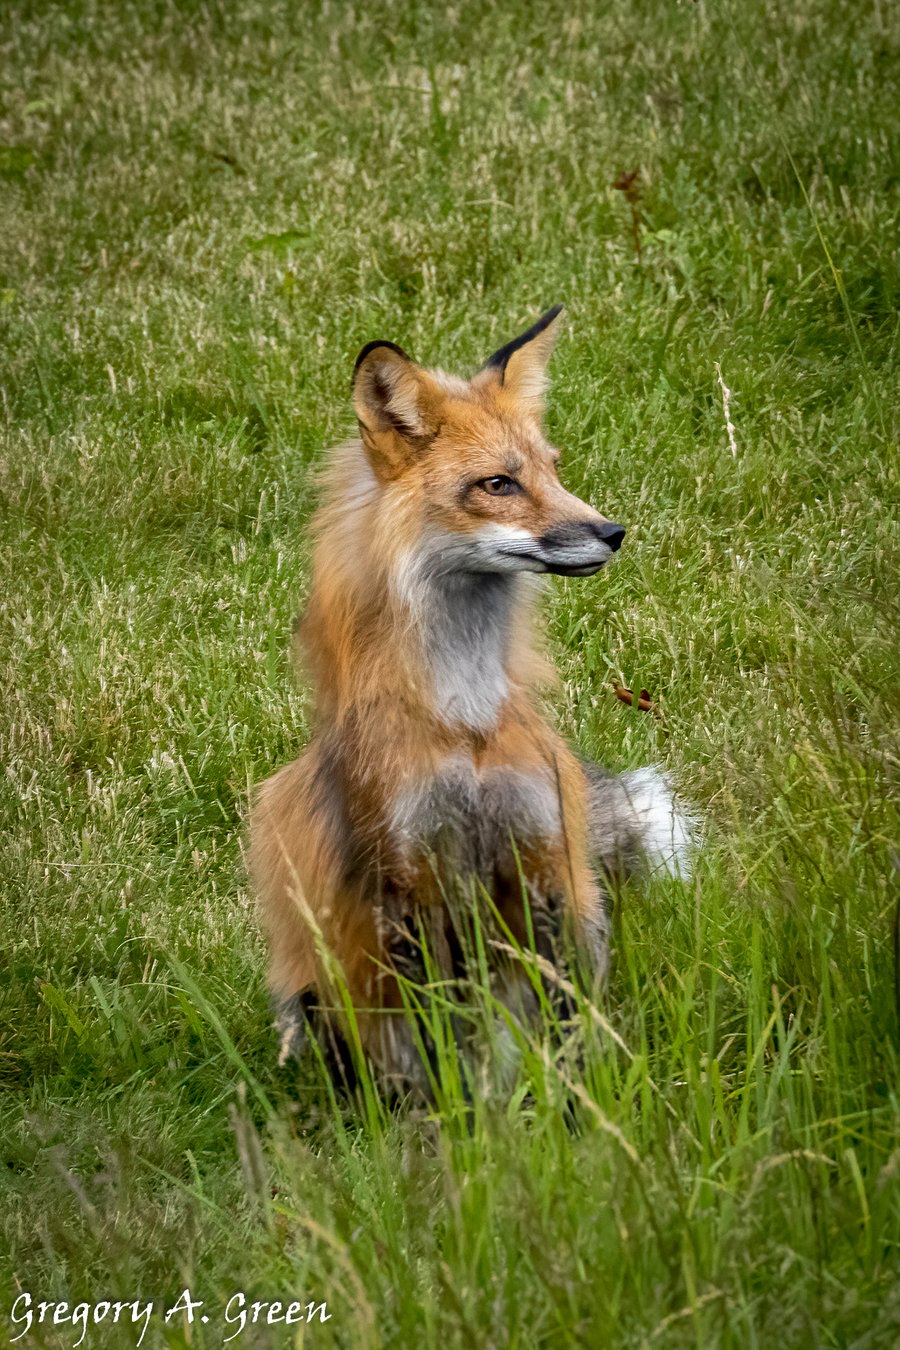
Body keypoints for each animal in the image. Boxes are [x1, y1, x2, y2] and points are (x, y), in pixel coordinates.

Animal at [249, 305, 694, 1092]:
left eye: (553, 470)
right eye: (498, 484)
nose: (613, 533)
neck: (468, 728)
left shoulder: (541, 857)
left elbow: (566, 1029)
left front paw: (574, 1108)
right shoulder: (411, 880)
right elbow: (443, 1048)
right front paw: (461, 1121)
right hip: (320, 998)